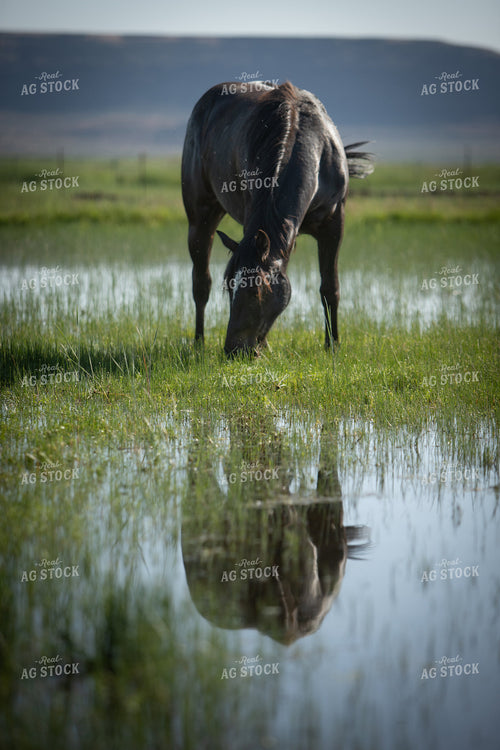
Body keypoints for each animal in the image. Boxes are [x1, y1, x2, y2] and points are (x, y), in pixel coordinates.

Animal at [181, 80, 373, 355]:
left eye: (255, 290)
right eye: (229, 287)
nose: (234, 350)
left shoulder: (334, 224)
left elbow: (330, 287)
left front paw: (332, 345)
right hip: (200, 218)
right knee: (200, 283)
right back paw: (198, 343)